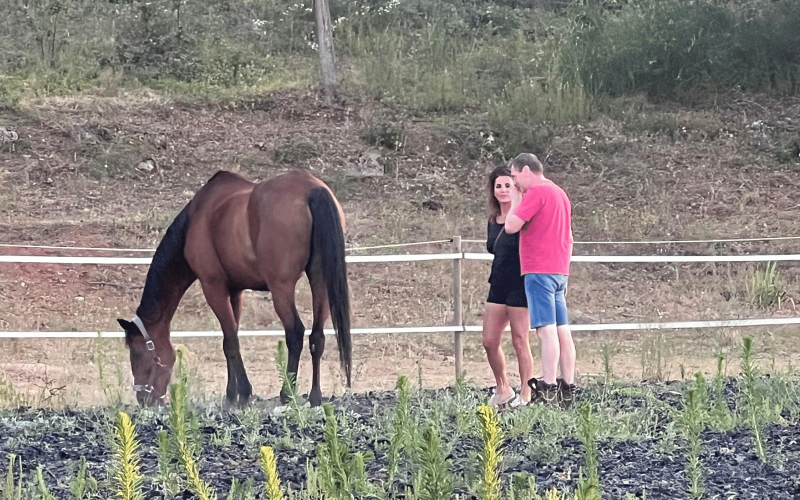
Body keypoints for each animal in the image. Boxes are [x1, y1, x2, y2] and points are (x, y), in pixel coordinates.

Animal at [114, 170, 352, 408]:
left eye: (136, 353)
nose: (144, 399)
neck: (197, 217)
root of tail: (312, 189)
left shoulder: (214, 288)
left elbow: (230, 342)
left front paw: (243, 393)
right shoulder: (235, 292)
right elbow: (231, 337)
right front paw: (231, 395)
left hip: (281, 288)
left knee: (295, 332)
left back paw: (287, 393)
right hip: (320, 281)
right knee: (317, 336)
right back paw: (315, 396)